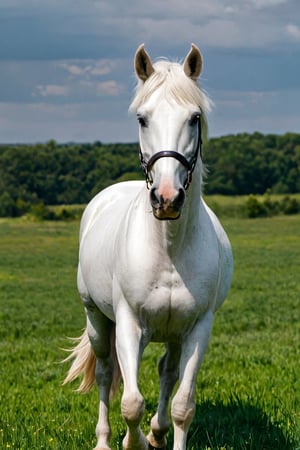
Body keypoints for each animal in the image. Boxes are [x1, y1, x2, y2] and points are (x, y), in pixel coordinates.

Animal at [64, 43, 233, 450]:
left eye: (194, 117)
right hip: (97, 319)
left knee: (166, 372)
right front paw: (133, 442)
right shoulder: (128, 324)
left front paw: (157, 435)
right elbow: (130, 403)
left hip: (172, 334)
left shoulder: (197, 328)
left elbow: (183, 405)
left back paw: (156, 432)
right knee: (107, 373)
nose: (167, 198)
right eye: (142, 118)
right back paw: (105, 441)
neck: (169, 250)